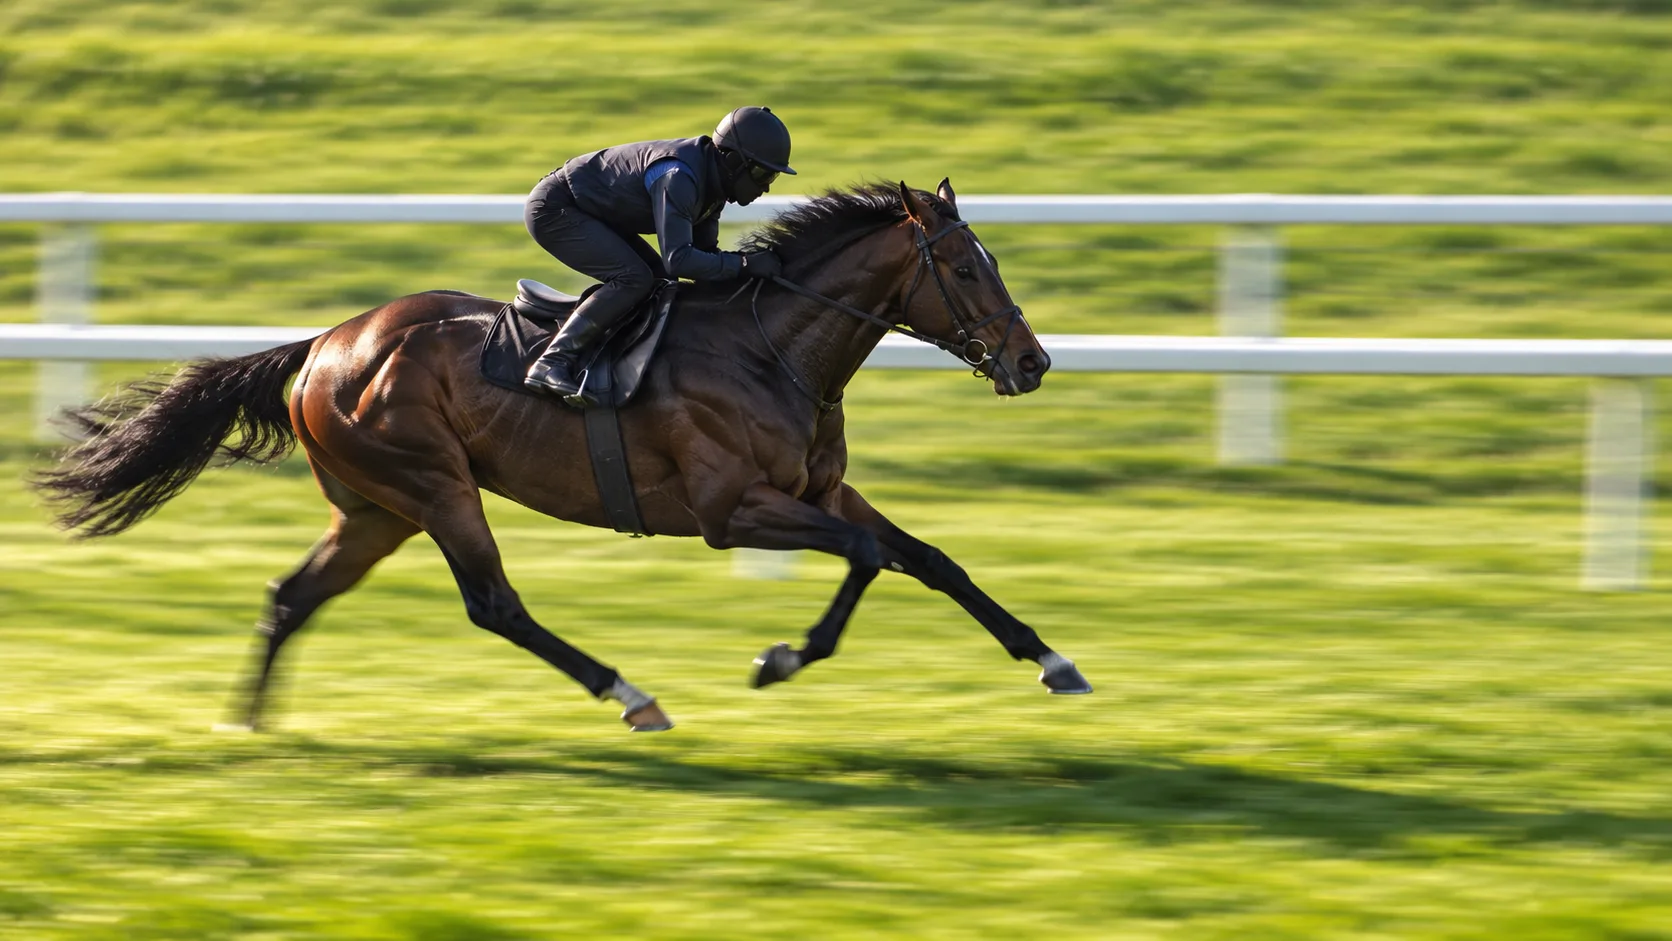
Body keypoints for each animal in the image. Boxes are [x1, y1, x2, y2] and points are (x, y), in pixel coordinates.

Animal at [33, 178, 1092, 733]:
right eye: (963, 268)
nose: (1032, 362)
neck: (773, 346)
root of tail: (323, 344)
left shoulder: (822, 489)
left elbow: (932, 559)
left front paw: (1053, 659)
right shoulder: (729, 510)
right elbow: (869, 558)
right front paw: (781, 657)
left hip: (375, 509)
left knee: (293, 595)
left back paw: (246, 719)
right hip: (435, 486)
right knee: (495, 604)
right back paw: (632, 694)